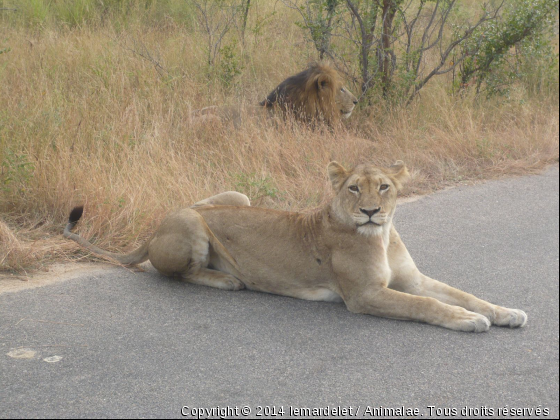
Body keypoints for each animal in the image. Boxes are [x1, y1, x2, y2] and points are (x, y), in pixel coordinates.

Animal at [63, 163, 528, 332]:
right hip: (193, 223)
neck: (380, 235)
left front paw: (505, 312)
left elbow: (461, 294)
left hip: (235, 197)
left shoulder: (411, 279)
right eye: (354, 188)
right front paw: (467, 321)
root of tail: (156, 226)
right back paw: (228, 281)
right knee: (177, 273)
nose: (371, 211)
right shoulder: (364, 296)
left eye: (384, 187)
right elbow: (428, 305)